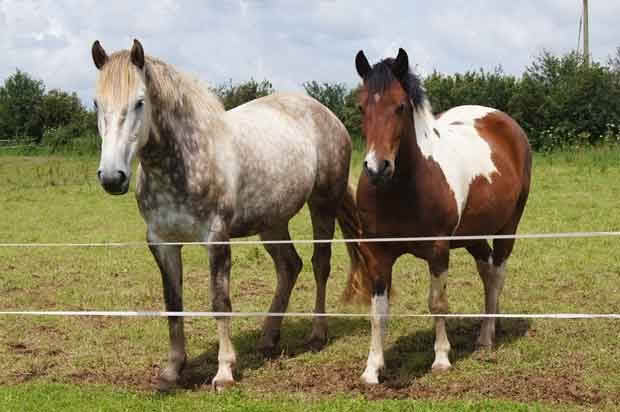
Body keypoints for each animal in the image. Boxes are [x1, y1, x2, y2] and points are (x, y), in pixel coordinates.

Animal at [91, 38, 364, 390]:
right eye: (97, 103)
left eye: (140, 102)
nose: (113, 177)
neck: (185, 158)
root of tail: (328, 115)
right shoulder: (162, 242)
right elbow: (173, 304)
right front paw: (172, 370)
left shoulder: (216, 238)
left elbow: (220, 303)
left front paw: (224, 372)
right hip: (272, 221)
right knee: (289, 266)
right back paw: (268, 338)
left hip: (323, 204)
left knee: (320, 264)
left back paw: (317, 334)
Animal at [344, 49, 532, 386]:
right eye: (361, 106)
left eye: (400, 106)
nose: (377, 168)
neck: (404, 188)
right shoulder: (376, 253)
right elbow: (378, 311)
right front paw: (372, 368)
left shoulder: (438, 250)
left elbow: (437, 303)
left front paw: (442, 359)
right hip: (473, 236)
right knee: (487, 273)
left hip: (507, 228)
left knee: (497, 274)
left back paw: (486, 336)